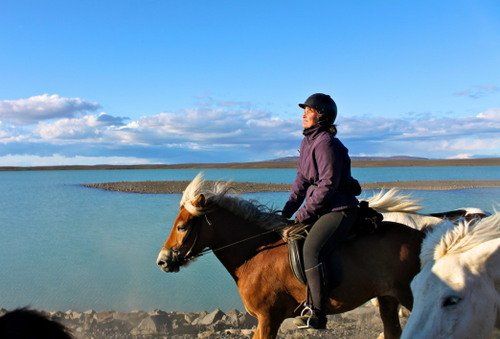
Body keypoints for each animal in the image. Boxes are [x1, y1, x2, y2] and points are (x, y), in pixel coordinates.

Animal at [156, 175, 422, 339]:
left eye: (182, 227)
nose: (162, 260)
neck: (256, 254)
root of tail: (422, 235)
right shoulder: (265, 320)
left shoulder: (268, 318)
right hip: (387, 298)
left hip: (407, 296)